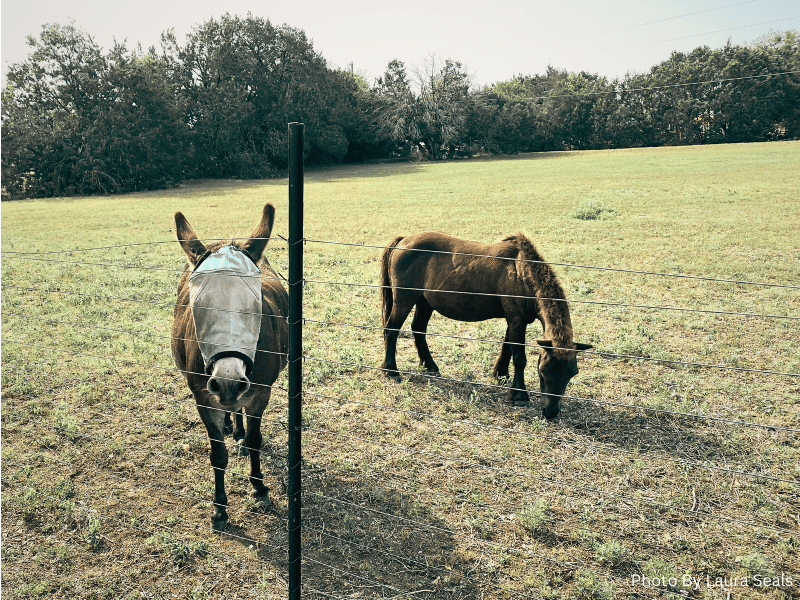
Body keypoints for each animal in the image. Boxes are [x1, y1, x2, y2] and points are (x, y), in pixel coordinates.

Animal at [170, 205, 290, 528]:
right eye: (197, 307)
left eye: (255, 305)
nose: (227, 382)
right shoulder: (202, 397)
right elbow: (217, 454)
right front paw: (220, 507)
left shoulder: (260, 393)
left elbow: (255, 439)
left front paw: (259, 487)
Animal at [378, 232, 592, 420]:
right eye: (543, 370)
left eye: (572, 373)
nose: (551, 413)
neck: (522, 271)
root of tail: (404, 240)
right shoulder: (516, 319)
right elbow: (519, 358)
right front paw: (519, 394)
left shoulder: (514, 320)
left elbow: (507, 347)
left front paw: (501, 374)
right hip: (405, 300)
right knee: (392, 330)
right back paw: (391, 370)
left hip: (424, 302)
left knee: (418, 329)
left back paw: (430, 366)